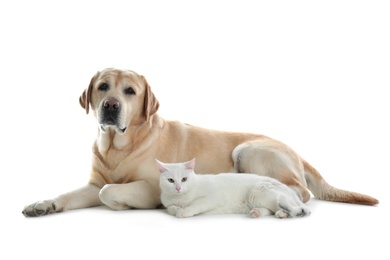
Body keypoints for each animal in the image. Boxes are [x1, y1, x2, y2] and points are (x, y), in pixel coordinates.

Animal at [157, 157, 312, 218]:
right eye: (170, 180)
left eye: (184, 179)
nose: (178, 188)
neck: (181, 198)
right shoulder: (168, 204)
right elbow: (171, 208)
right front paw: (177, 209)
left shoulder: (213, 198)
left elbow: (195, 204)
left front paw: (183, 211)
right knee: (273, 209)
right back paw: (260, 213)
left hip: (258, 191)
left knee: (294, 207)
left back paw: (284, 213)